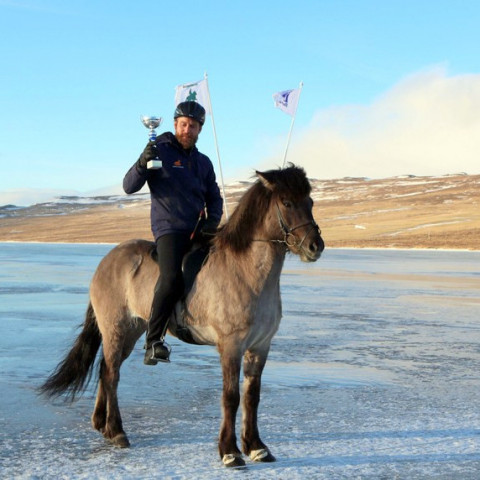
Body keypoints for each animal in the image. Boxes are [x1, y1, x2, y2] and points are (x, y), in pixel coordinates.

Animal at [39, 165, 324, 468]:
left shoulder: (260, 346)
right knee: (112, 374)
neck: (247, 272)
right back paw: (116, 431)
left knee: (105, 370)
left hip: (132, 330)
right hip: (115, 329)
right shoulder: (231, 346)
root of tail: (107, 260)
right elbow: (231, 397)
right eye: (287, 202)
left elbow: (252, 397)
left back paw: (102, 426)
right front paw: (230, 452)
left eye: (310, 202)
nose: (315, 246)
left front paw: (256, 447)